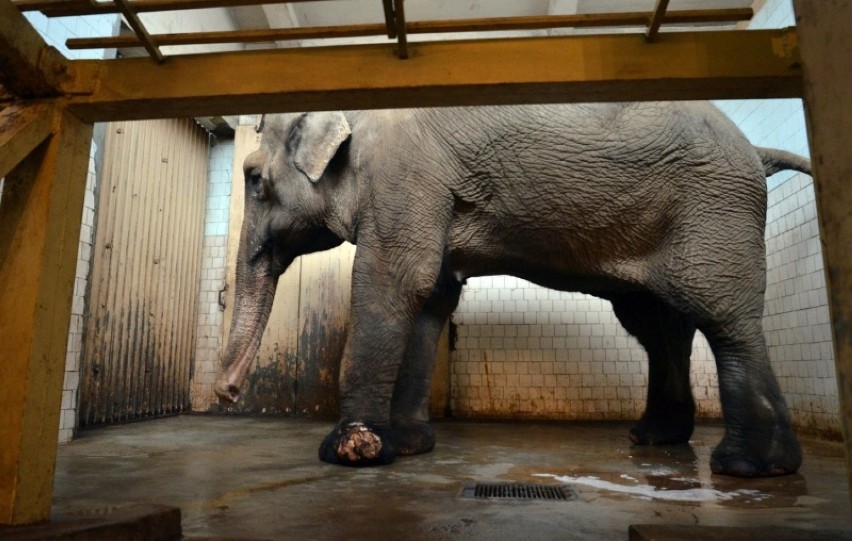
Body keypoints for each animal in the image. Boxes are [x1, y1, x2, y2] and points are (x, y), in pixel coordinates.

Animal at [213, 102, 812, 476]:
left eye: (253, 180)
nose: (227, 394)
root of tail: (757, 151)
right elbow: (432, 295)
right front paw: (408, 447)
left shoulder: (403, 174)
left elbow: (394, 279)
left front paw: (353, 452)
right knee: (660, 326)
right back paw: (655, 439)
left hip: (714, 210)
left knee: (722, 318)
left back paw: (749, 467)